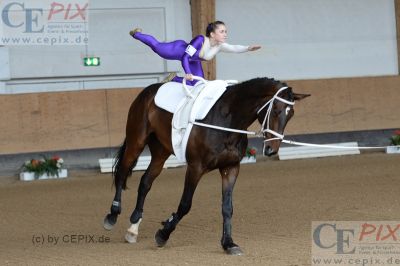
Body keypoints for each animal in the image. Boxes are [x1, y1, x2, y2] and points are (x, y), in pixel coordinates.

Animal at [103, 77, 310, 256]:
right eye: (275, 110)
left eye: (290, 114)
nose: (271, 150)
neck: (228, 120)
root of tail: (148, 90)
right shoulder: (195, 168)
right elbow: (185, 204)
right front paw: (163, 234)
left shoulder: (230, 168)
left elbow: (227, 207)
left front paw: (228, 244)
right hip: (136, 142)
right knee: (122, 173)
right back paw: (112, 216)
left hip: (161, 152)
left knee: (145, 182)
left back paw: (133, 228)